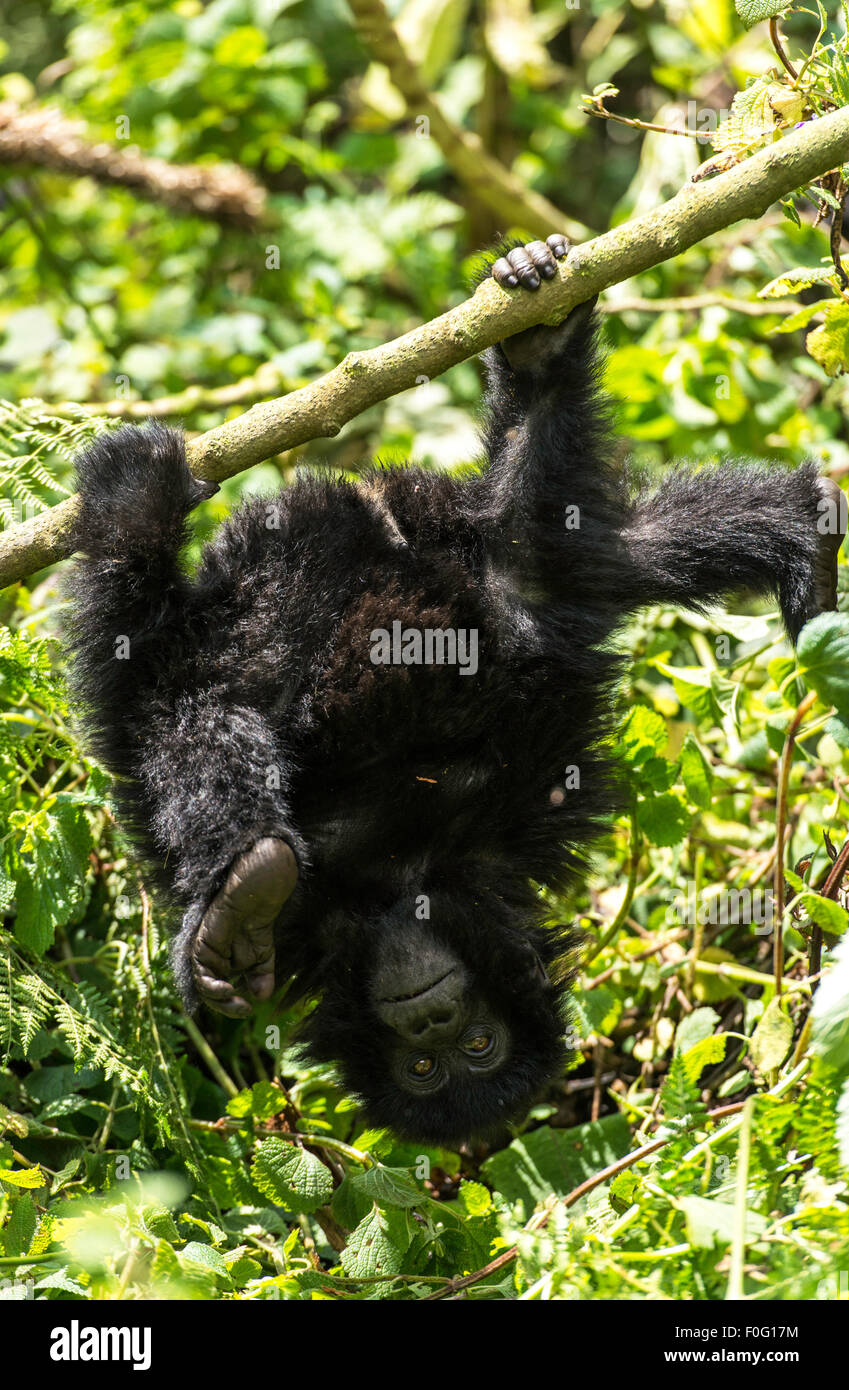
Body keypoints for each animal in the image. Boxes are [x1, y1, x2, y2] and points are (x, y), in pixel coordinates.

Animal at [64, 236, 844, 1139]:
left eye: (468, 1051)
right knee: (592, 550)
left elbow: (136, 703)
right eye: (429, 1061)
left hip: (465, 583)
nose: (430, 1020)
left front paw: (232, 933)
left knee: (190, 693)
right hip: (462, 555)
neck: (399, 889)